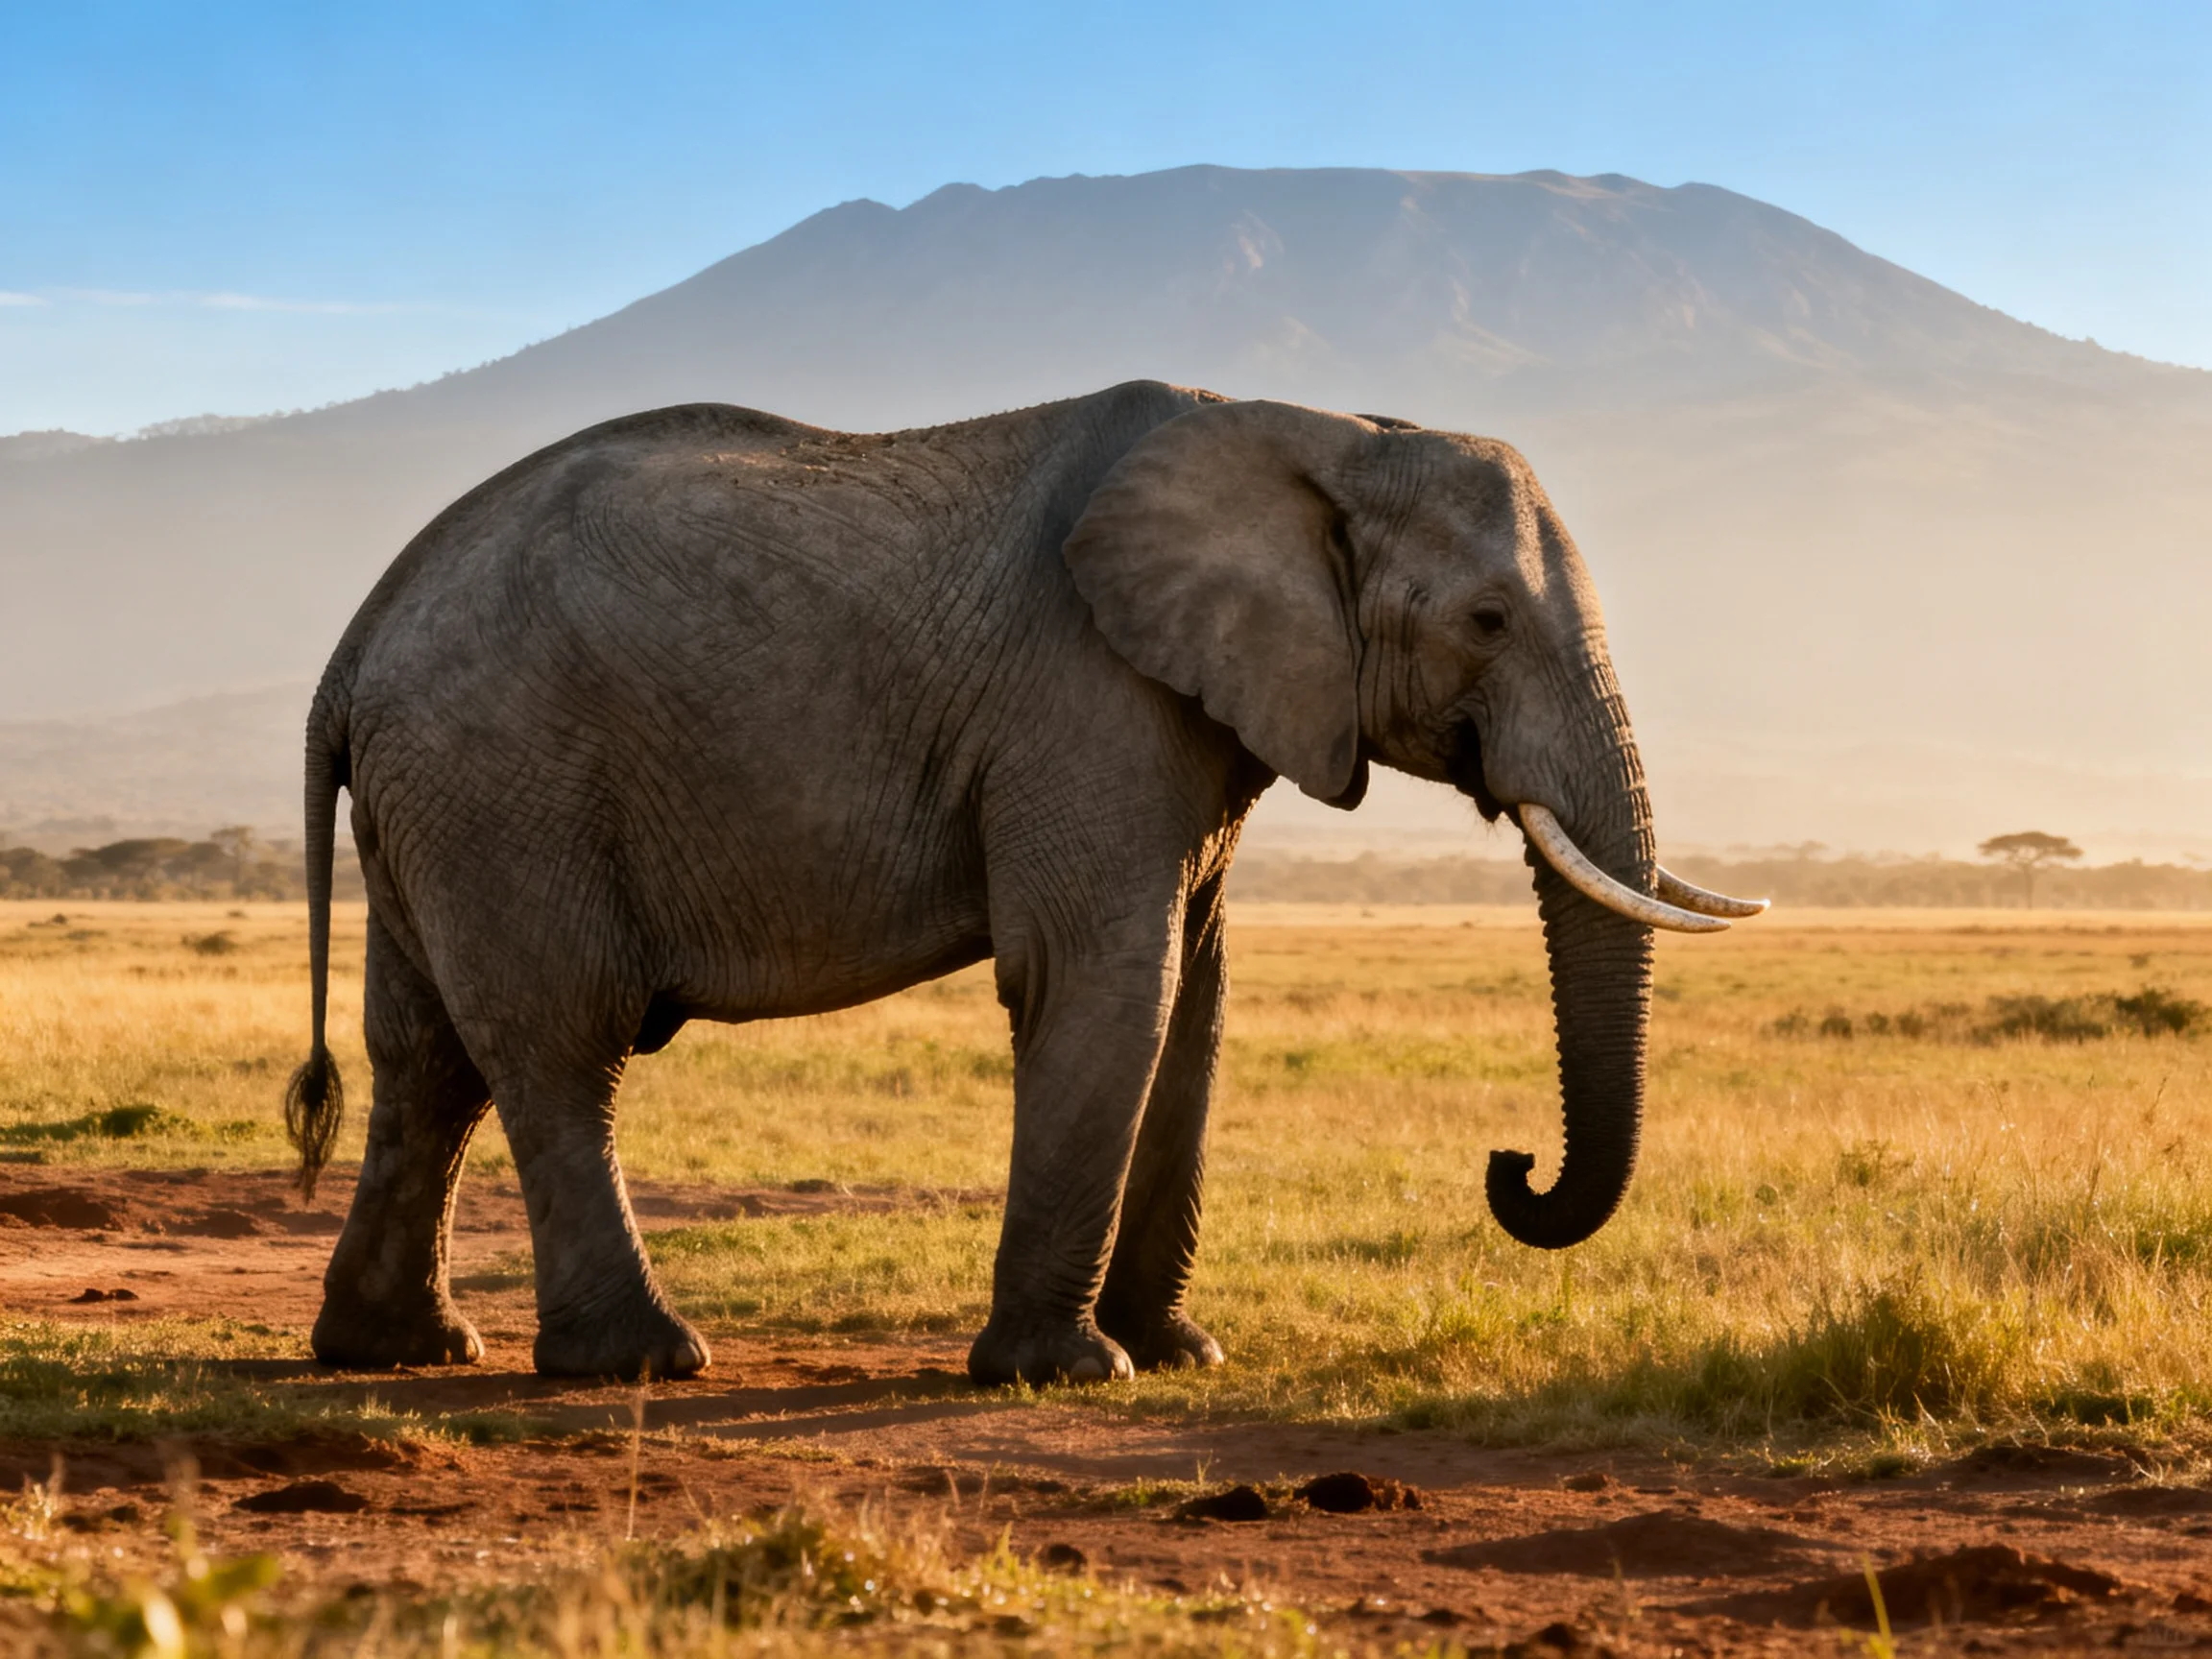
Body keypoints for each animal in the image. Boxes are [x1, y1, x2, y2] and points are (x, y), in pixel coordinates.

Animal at [285, 379, 1762, 1385]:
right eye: (1487, 622)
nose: (1511, 1164)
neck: (1322, 428)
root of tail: (352, 645)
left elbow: (1196, 1001)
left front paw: (1179, 1355)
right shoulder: (1086, 698)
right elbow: (1106, 980)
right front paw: (1068, 1374)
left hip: (445, 802)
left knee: (429, 1059)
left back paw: (400, 1350)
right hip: (506, 780)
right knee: (558, 1044)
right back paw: (644, 1359)